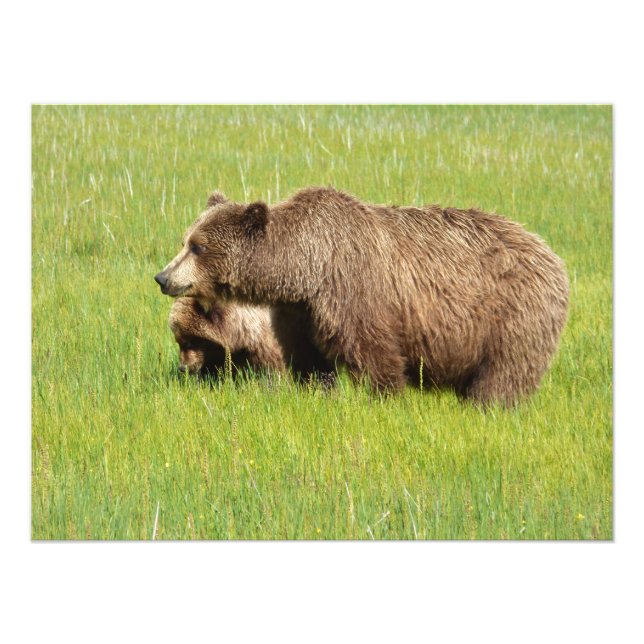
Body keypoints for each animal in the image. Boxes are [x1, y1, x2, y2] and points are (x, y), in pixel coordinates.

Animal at [155, 187, 569, 405]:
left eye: (197, 247)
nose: (162, 277)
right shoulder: (299, 312)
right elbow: (308, 360)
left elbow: (373, 351)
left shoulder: (353, 287)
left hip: (512, 316)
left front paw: (386, 397)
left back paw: (491, 405)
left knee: (504, 374)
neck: (306, 268)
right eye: (185, 241)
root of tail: (552, 255)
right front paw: (318, 391)